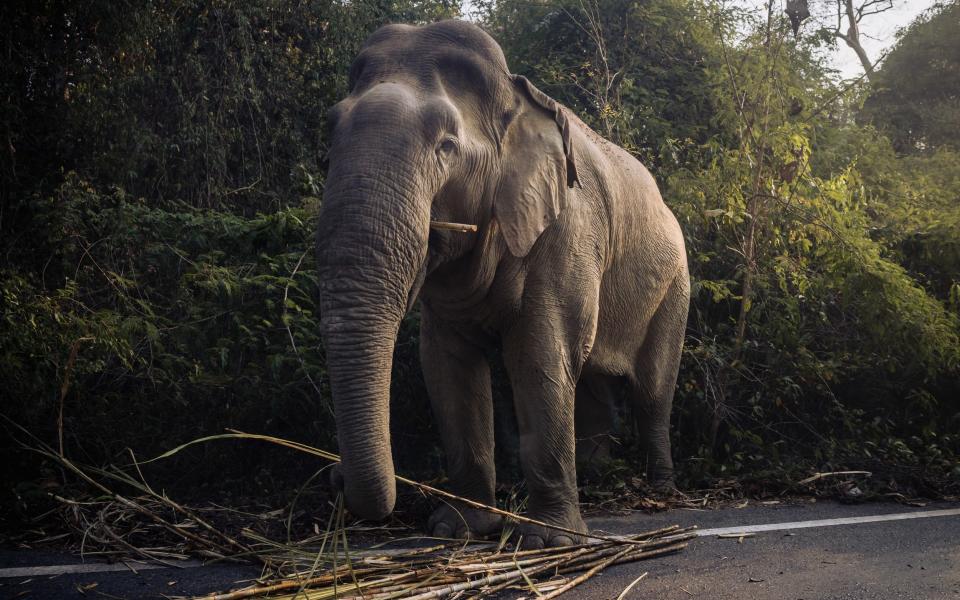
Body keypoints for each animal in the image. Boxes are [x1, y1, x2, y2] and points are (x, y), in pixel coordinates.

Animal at [316, 21, 688, 548]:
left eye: (446, 145)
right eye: (330, 129)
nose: (334, 477)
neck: (516, 95)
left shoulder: (567, 231)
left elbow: (540, 354)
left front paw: (549, 541)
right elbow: (447, 366)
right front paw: (458, 528)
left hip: (675, 287)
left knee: (654, 389)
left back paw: (660, 490)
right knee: (592, 380)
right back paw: (597, 482)